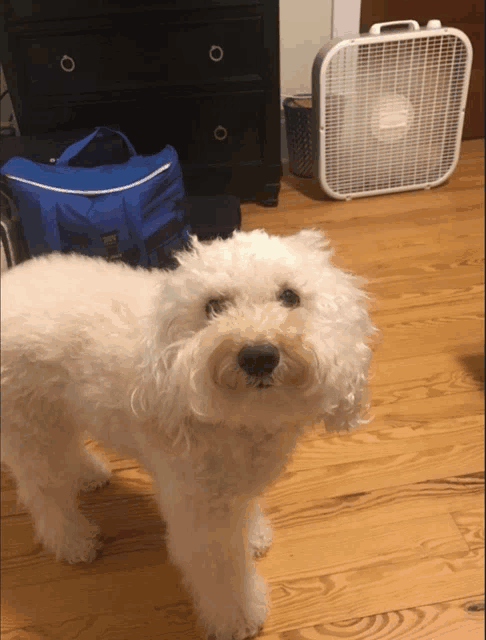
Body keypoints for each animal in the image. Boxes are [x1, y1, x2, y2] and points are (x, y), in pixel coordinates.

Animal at [0, 228, 374, 636]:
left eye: (290, 296)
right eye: (214, 306)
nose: (258, 355)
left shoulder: (235, 485)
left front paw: (254, 534)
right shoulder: (200, 510)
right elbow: (223, 573)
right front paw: (239, 618)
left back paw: (89, 473)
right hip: (32, 428)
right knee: (44, 491)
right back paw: (73, 541)